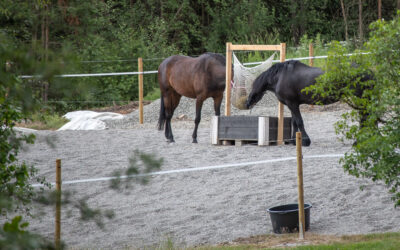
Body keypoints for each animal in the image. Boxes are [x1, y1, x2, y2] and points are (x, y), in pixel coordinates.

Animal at [245, 60, 374, 146]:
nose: (247, 103)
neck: (280, 77)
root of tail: (368, 71)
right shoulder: (292, 105)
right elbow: (294, 122)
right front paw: (293, 141)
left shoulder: (292, 104)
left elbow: (299, 121)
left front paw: (306, 141)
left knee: (365, 117)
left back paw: (359, 140)